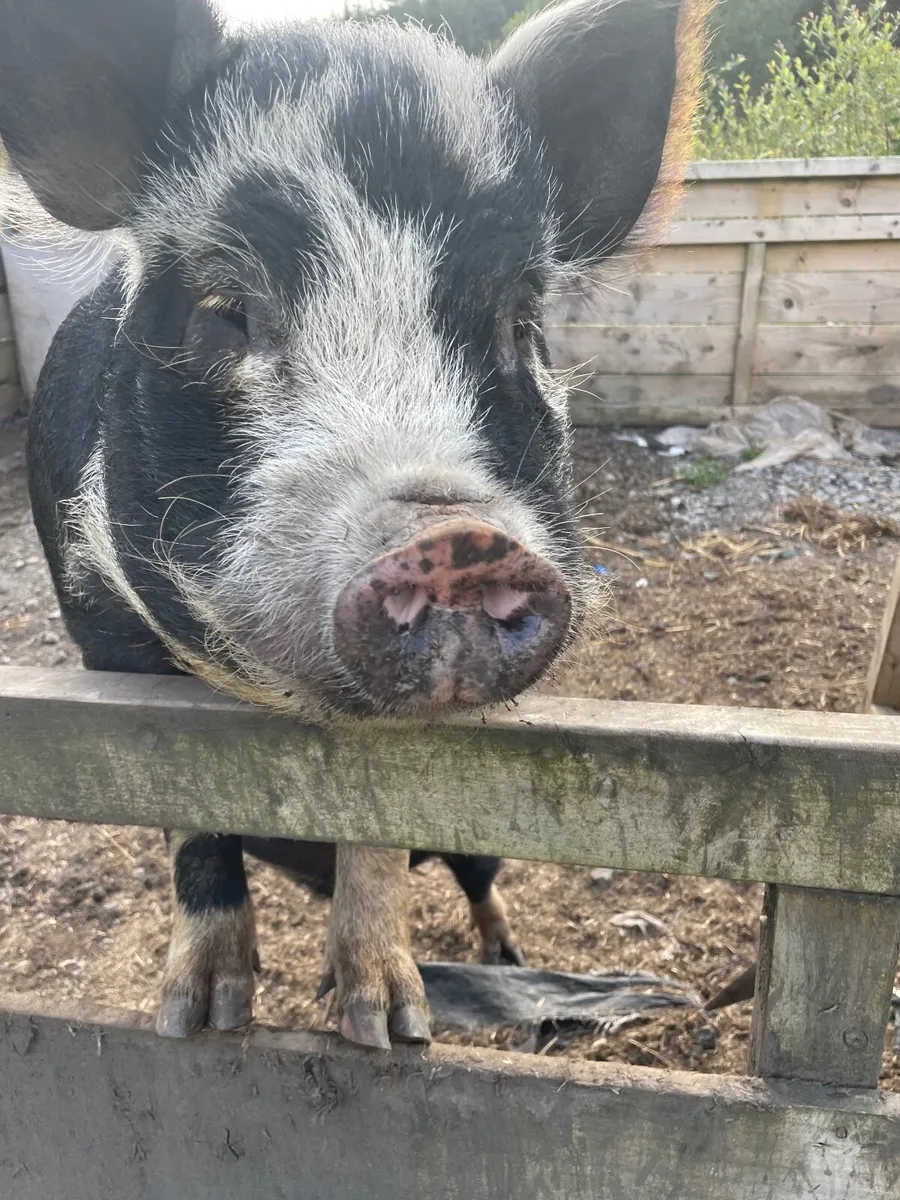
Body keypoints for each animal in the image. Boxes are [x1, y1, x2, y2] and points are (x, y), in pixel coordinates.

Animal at [0, 0, 703, 1049]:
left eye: (520, 323)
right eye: (223, 309)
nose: (455, 537)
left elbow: (377, 822)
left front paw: (387, 1029)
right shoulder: (105, 646)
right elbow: (188, 812)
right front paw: (201, 1020)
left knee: (478, 878)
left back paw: (508, 965)